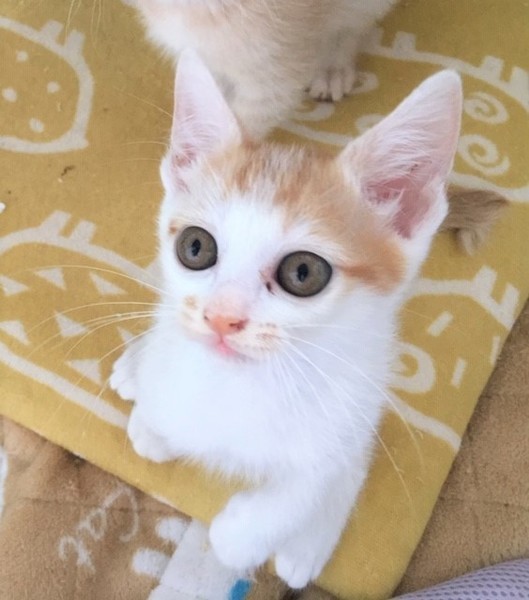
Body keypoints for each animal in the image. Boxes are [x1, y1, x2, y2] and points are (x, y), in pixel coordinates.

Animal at [110, 49, 466, 588]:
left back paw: (306, 546)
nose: (221, 318)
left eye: (303, 272)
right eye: (195, 247)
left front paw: (240, 537)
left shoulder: (349, 402)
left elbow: (314, 478)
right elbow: (158, 410)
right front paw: (153, 419)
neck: (243, 384)